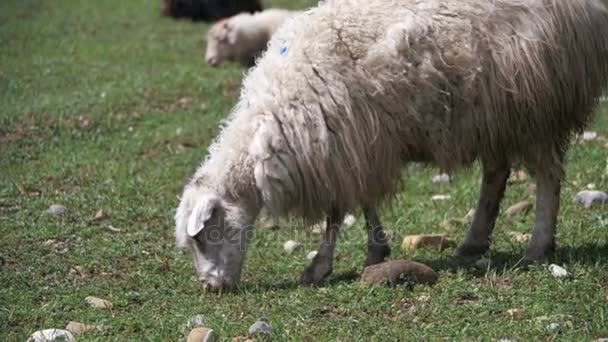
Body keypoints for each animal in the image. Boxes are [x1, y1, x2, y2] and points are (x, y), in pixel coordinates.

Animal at [175, 0, 608, 292]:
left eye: (203, 235)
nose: (210, 288)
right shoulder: (359, 149)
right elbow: (364, 203)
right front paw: (376, 250)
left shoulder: (341, 147)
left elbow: (336, 213)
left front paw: (319, 266)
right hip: (495, 117)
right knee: (496, 174)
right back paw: (473, 241)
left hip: (537, 108)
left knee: (547, 177)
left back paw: (538, 245)